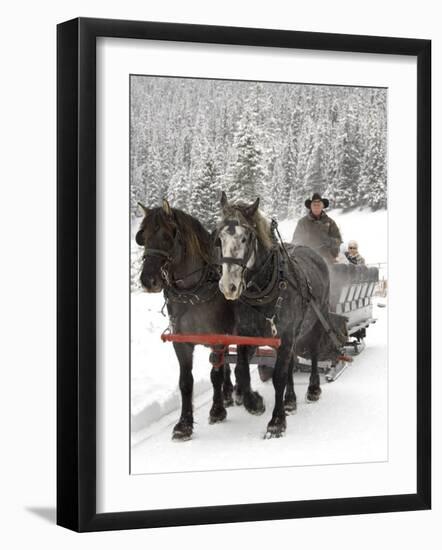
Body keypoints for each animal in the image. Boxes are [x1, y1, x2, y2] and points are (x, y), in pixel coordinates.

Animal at [135, 201, 264, 442]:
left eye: (167, 236)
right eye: (143, 236)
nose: (148, 280)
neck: (192, 292)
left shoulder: (218, 338)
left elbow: (215, 375)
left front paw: (217, 411)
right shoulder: (181, 343)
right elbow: (186, 382)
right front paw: (184, 424)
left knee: (238, 361)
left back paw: (240, 395)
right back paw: (229, 394)